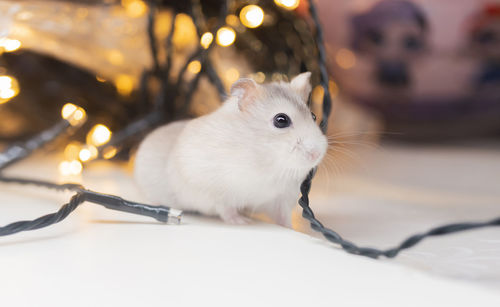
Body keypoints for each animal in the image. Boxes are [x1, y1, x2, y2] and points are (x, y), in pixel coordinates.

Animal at [134, 72, 328, 226]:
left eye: (313, 116)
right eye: (281, 120)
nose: (316, 154)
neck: (266, 159)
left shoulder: (281, 199)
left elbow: (283, 217)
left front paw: (290, 228)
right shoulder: (212, 188)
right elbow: (226, 208)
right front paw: (242, 222)